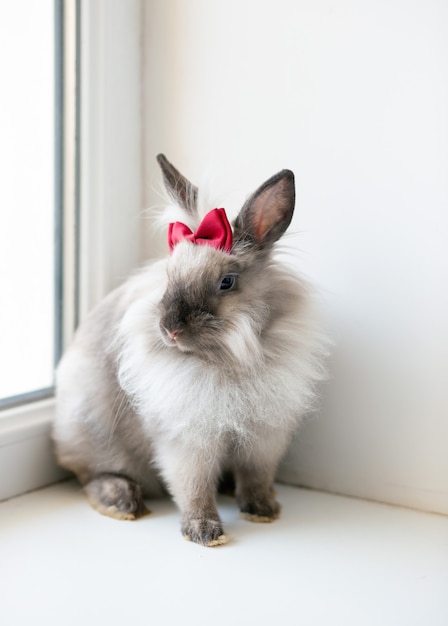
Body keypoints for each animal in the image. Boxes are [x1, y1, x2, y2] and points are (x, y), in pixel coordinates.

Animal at [54, 154, 328, 544]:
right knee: (91, 476)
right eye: (169, 278)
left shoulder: (264, 436)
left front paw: (262, 510)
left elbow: (256, 476)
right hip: (93, 435)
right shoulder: (188, 439)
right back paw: (122, 502)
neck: (227, 357)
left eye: (227, 282)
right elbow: (192, 486)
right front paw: (205, 533)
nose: (169, 329)